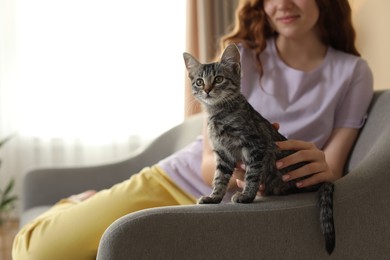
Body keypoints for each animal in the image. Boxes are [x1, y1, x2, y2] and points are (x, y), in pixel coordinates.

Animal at [183, 43, 336, 254]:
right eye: (199, 82)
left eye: (218, 79)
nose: (206, 89)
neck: (219, 114)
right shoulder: (223, 155)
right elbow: (219, 179)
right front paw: (214, 197)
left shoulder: (255, 145)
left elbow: (252, 175)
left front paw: (247, 195)